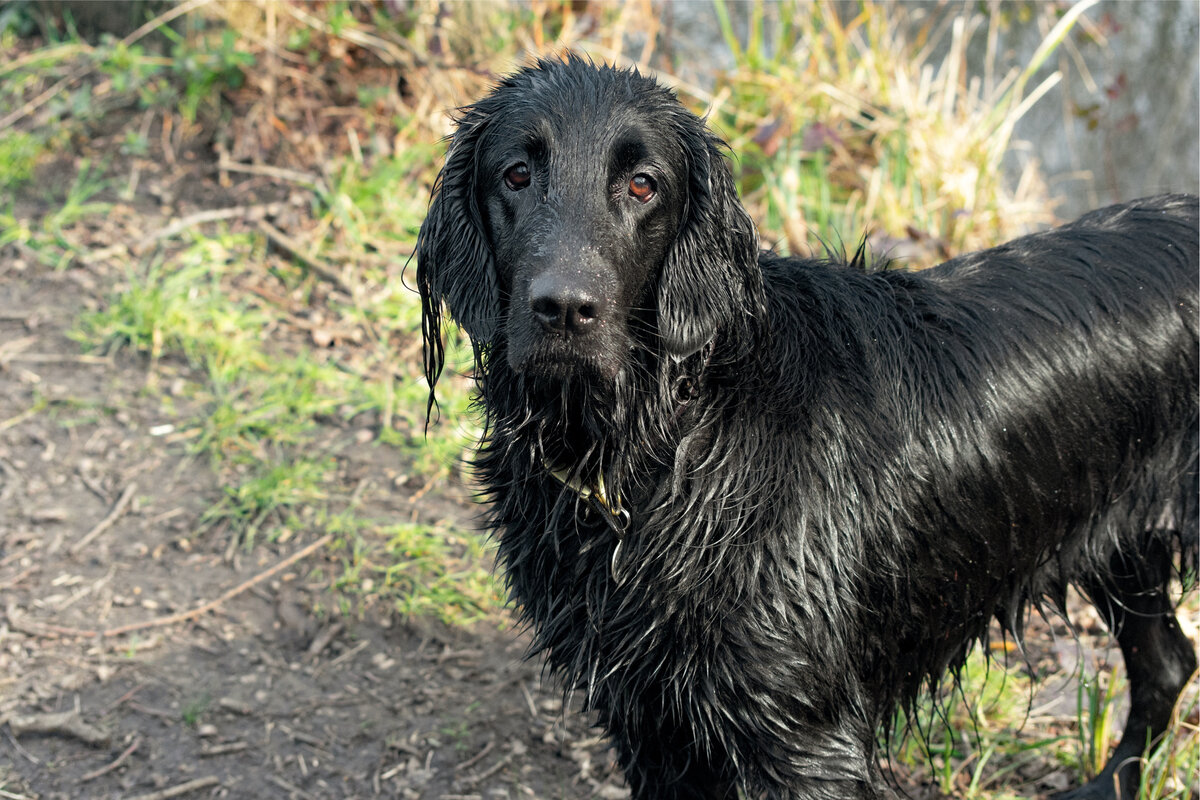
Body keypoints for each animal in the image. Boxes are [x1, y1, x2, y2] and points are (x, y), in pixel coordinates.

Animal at [415, 54, 1200, 796]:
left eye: (643, 184)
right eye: (516, 174)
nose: (564, 310)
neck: (665, 443)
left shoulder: (803, 739)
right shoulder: (653, 724)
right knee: (1168, 661)